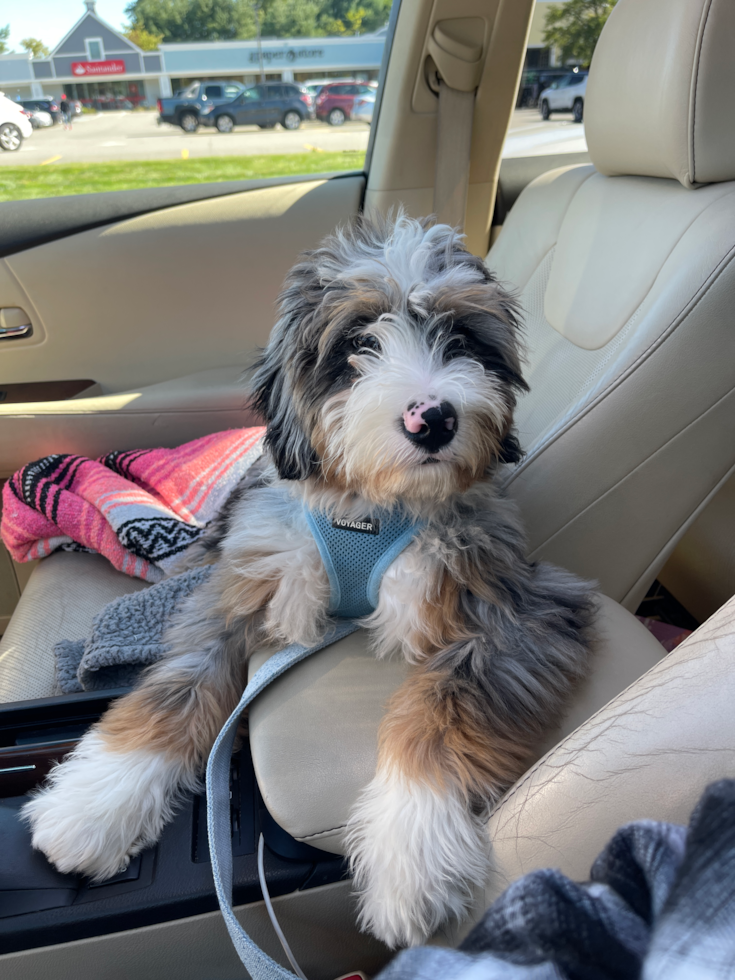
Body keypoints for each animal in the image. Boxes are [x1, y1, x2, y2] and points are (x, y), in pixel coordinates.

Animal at [23, 212, 600, 948]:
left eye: (463, 339)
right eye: (357, 343)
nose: (433, 417)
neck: (371, 510)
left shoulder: (522, 609)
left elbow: (440, 715)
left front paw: (410, 855)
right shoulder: (242, 582)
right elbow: (179, 687)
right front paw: (95, 805)